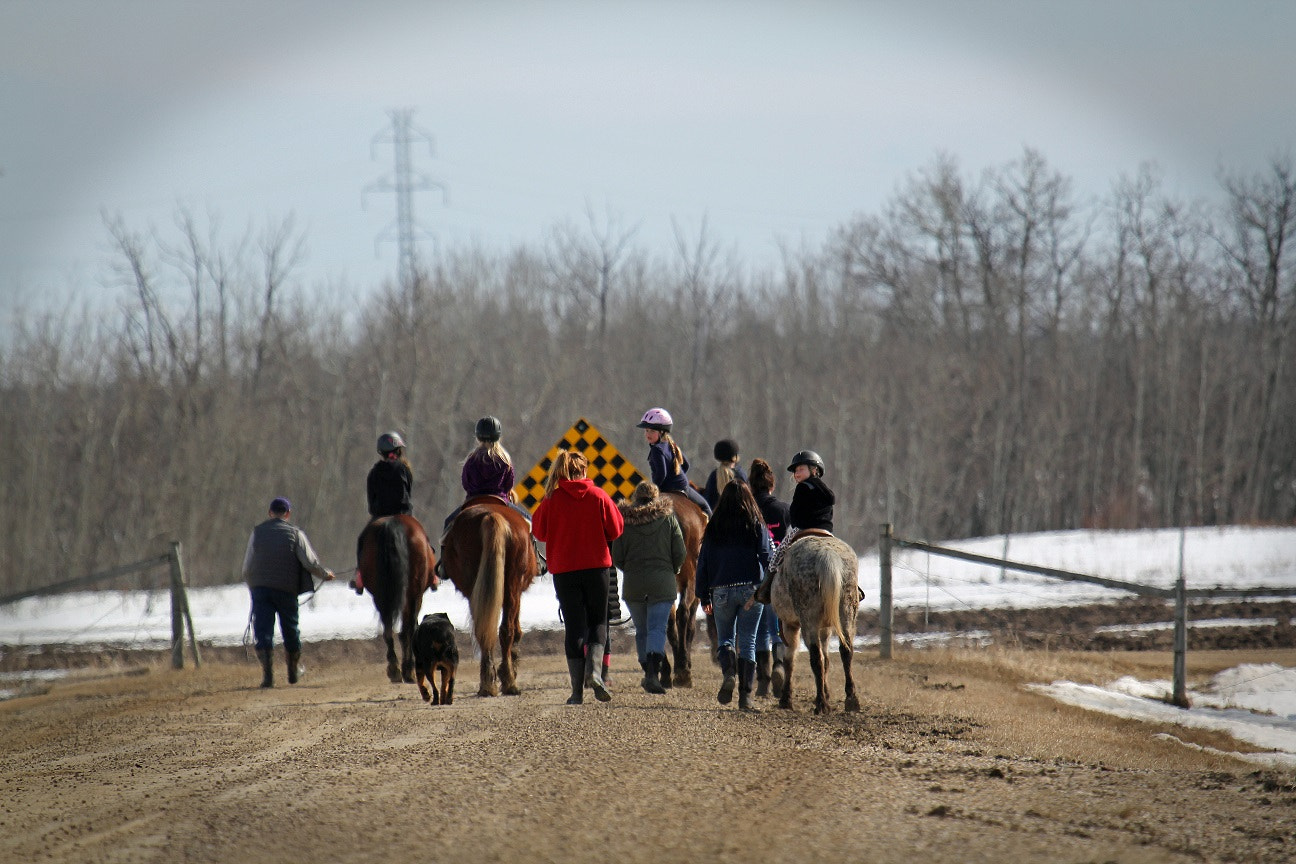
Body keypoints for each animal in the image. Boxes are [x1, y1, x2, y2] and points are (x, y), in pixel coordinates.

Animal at [435, 497, 536, 699]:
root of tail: (491, 516)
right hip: (512, 584)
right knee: (506, 630)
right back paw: (509, 681)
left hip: (475, 587)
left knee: (483, 631)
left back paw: (487, 683)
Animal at [658, 492, 710, 689]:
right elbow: (690, 627)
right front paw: (685, 662)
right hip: (691, 580)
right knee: (682, 615)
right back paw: (682, 671)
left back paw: (667, 672)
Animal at [767, 533, 860, 715]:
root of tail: (827, 555)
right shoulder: (826, 628)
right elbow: (827, 659)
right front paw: (827, 691)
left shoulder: (790, 625)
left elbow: (790, 659)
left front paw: (786, 699)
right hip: (846, 614)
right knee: (846, 651)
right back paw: (851, 700)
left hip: (808, 620)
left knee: (815, 657)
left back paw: (821, 703)